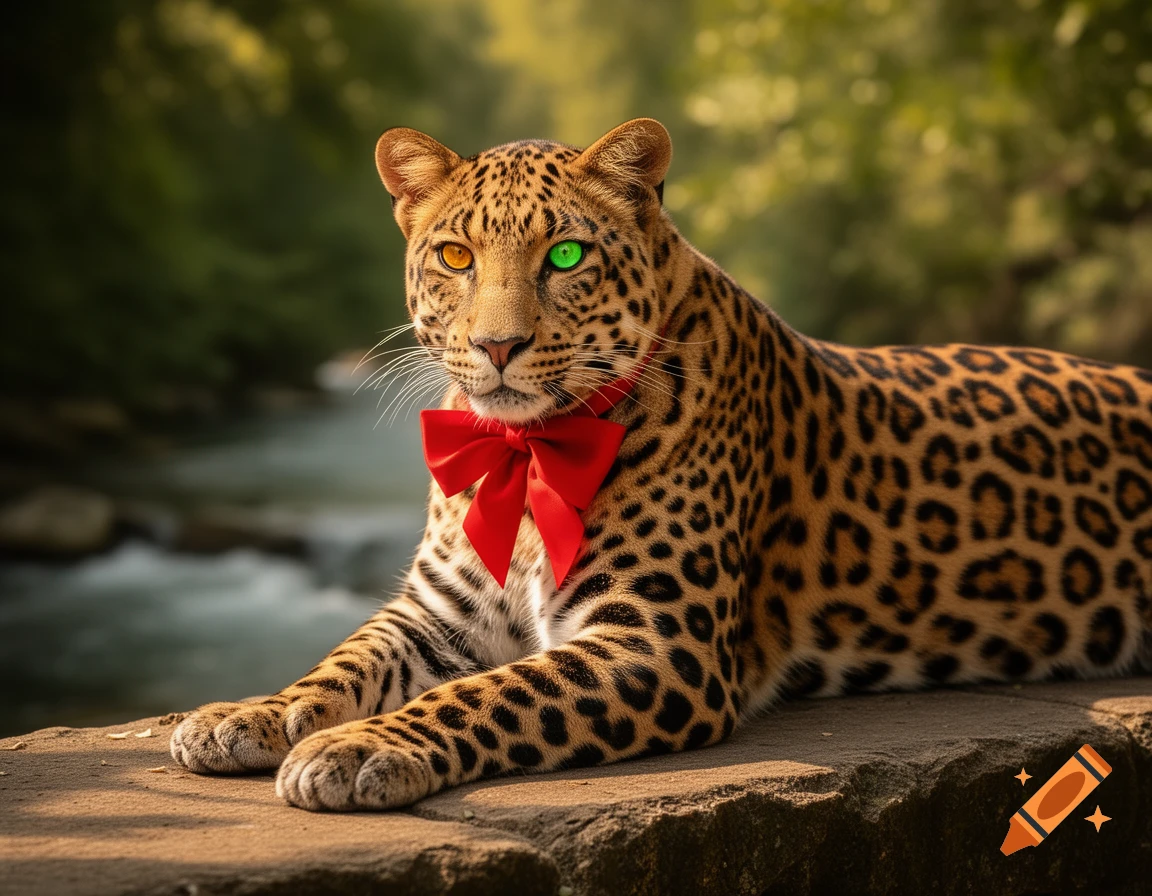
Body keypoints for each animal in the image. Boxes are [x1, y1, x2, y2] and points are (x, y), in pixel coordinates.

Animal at [171, 118, 1152, 811]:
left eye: (564, 254)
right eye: (454, 255)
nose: (496, 347)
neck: (528, 452)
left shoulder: (654, 642)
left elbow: (492, 694)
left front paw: (361, 747)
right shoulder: (437, 617)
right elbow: (343, 660)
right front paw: (242, 714)